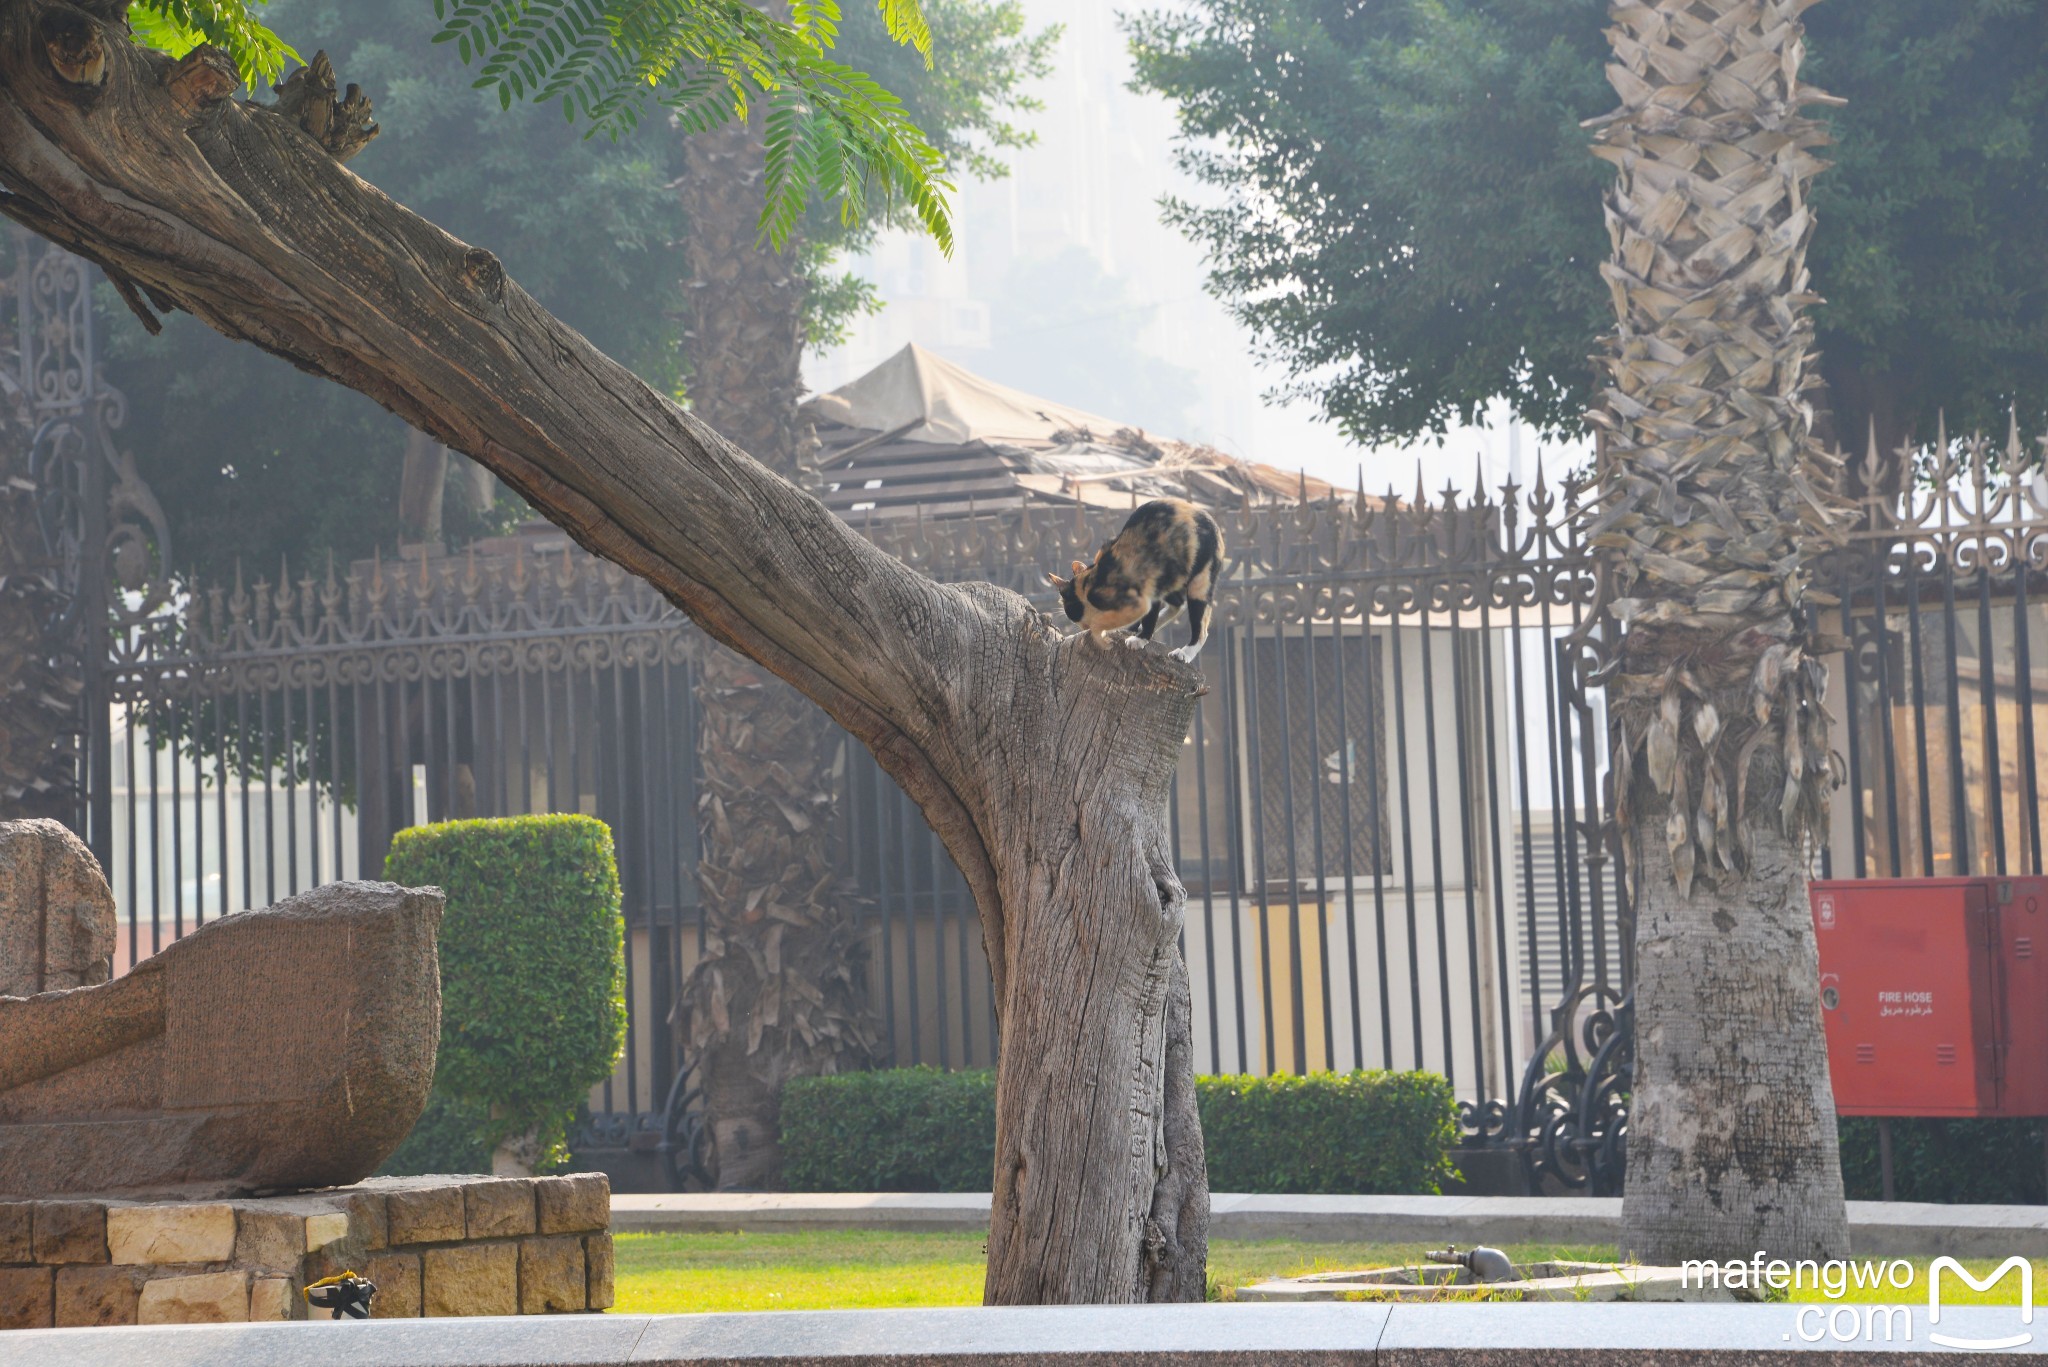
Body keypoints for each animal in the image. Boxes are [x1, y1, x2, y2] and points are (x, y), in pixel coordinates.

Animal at [1048, 498, 1220, 664]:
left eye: (1070, 611)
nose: (1082, 627)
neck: (1088, 582)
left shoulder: (1135, 602)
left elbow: (1098, 623)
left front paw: (1103, 639)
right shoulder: (1147, 595)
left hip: (1199, 583)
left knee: (1201, 629)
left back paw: (1182, 652)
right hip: (1166, 579)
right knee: (1178, 605)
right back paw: (1139, 631)